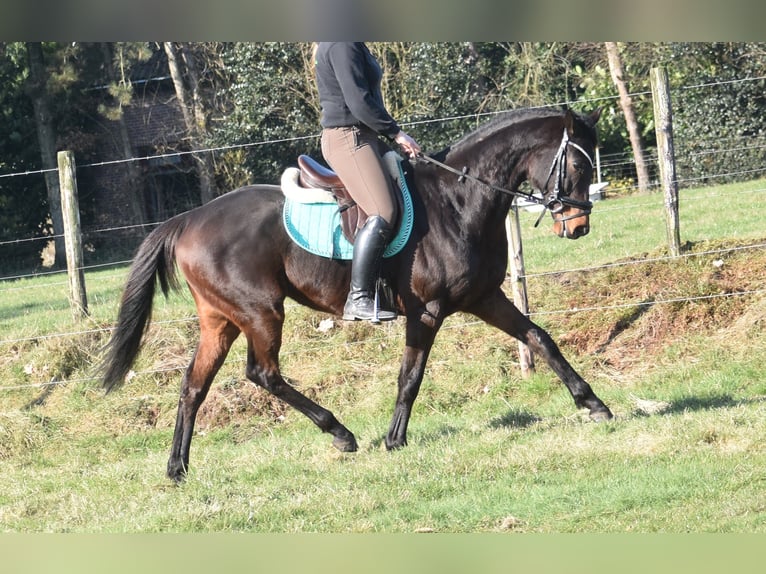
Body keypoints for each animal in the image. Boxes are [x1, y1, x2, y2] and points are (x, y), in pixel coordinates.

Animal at [100, 106, 612, 484]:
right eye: (578, 163)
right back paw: (340, 433)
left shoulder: (484, 297)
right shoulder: (427, 312)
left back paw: (177, 468)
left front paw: (593, 404)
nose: (579, 227)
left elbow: (540, 339)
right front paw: (395, 439)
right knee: (263, 374)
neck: (459, 200)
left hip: (220, 319)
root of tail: (187, 219)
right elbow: (411, 376)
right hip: (261, 313)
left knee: (194, 385)